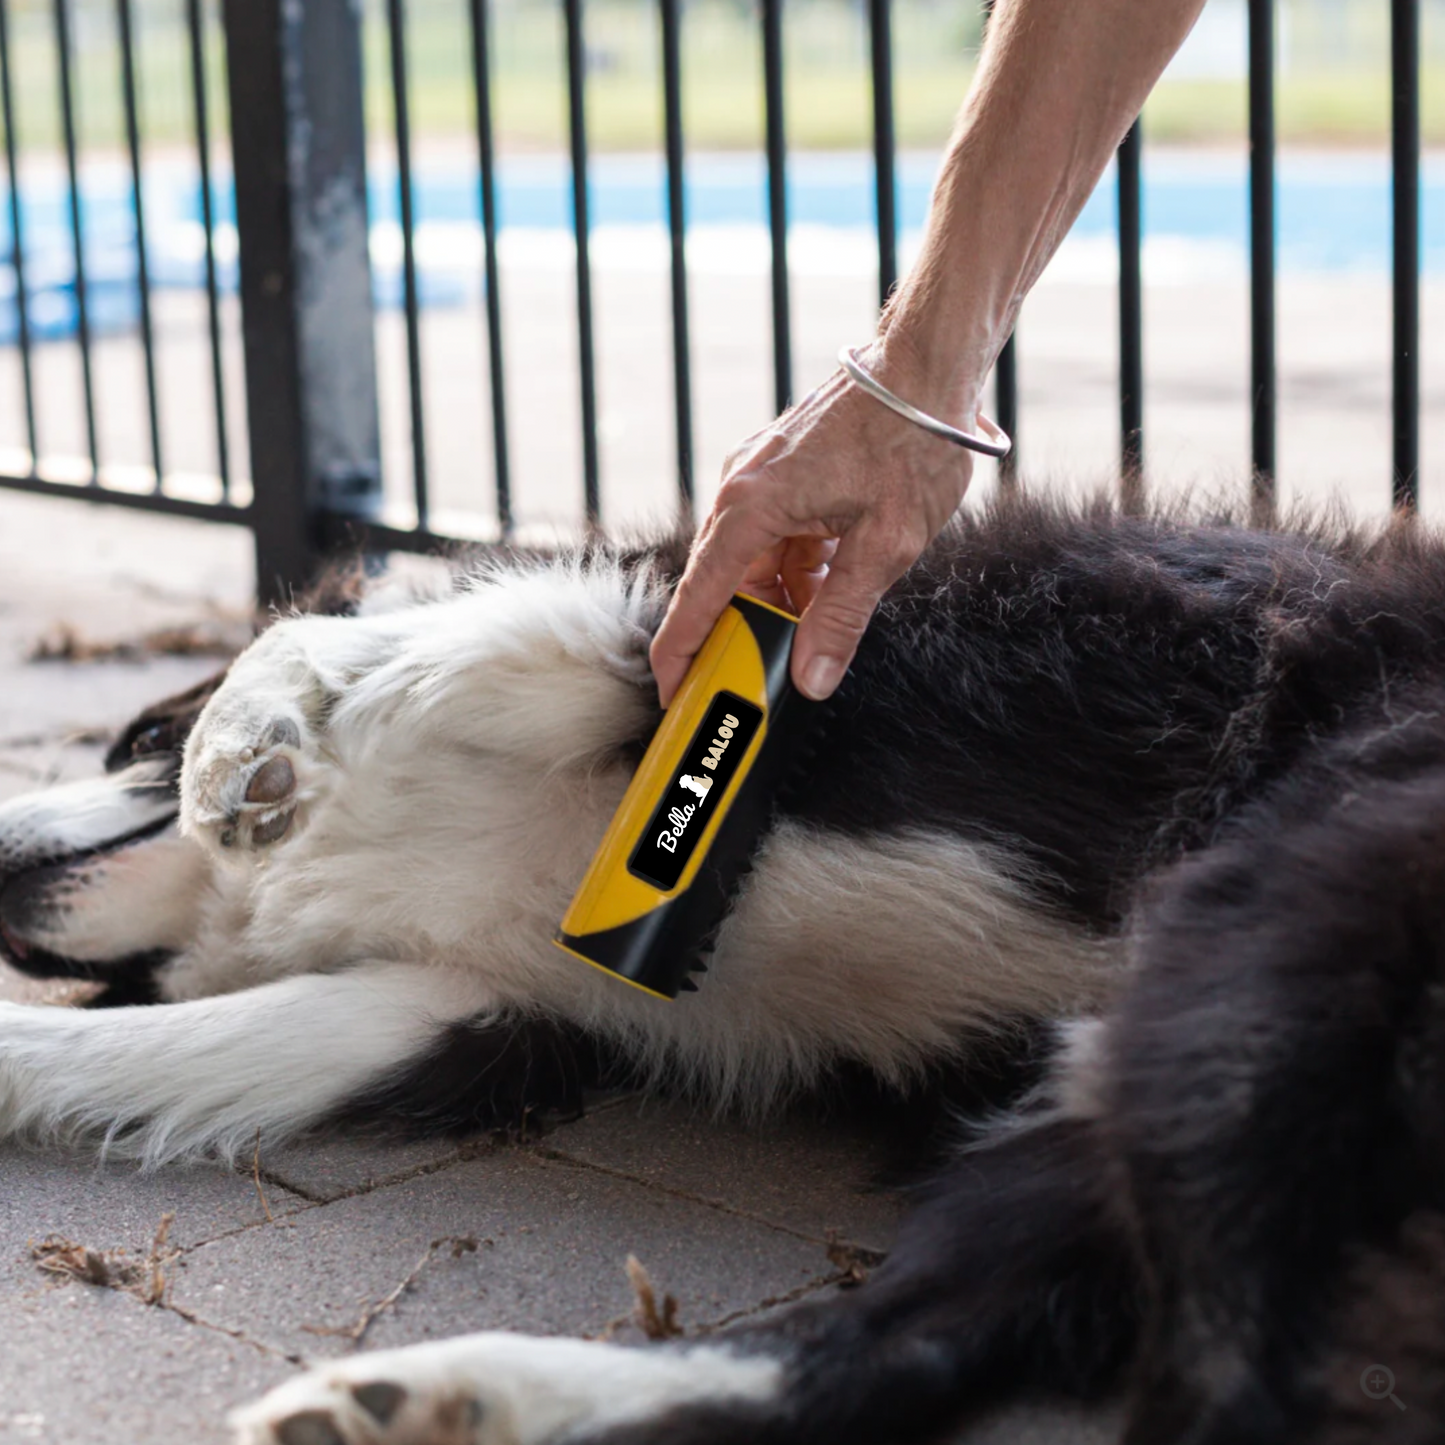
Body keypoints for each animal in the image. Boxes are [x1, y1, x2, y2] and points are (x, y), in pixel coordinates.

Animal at [2, 491, 1445, 1439]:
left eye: (135, 734)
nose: (0, 857)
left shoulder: (724, 628)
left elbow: (350, 643)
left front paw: (251, 741)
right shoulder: (470, 1005)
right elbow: (200, 1038)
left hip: (1254, 947)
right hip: (1103, 1098)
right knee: (879, 1350)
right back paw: (445, 1397)